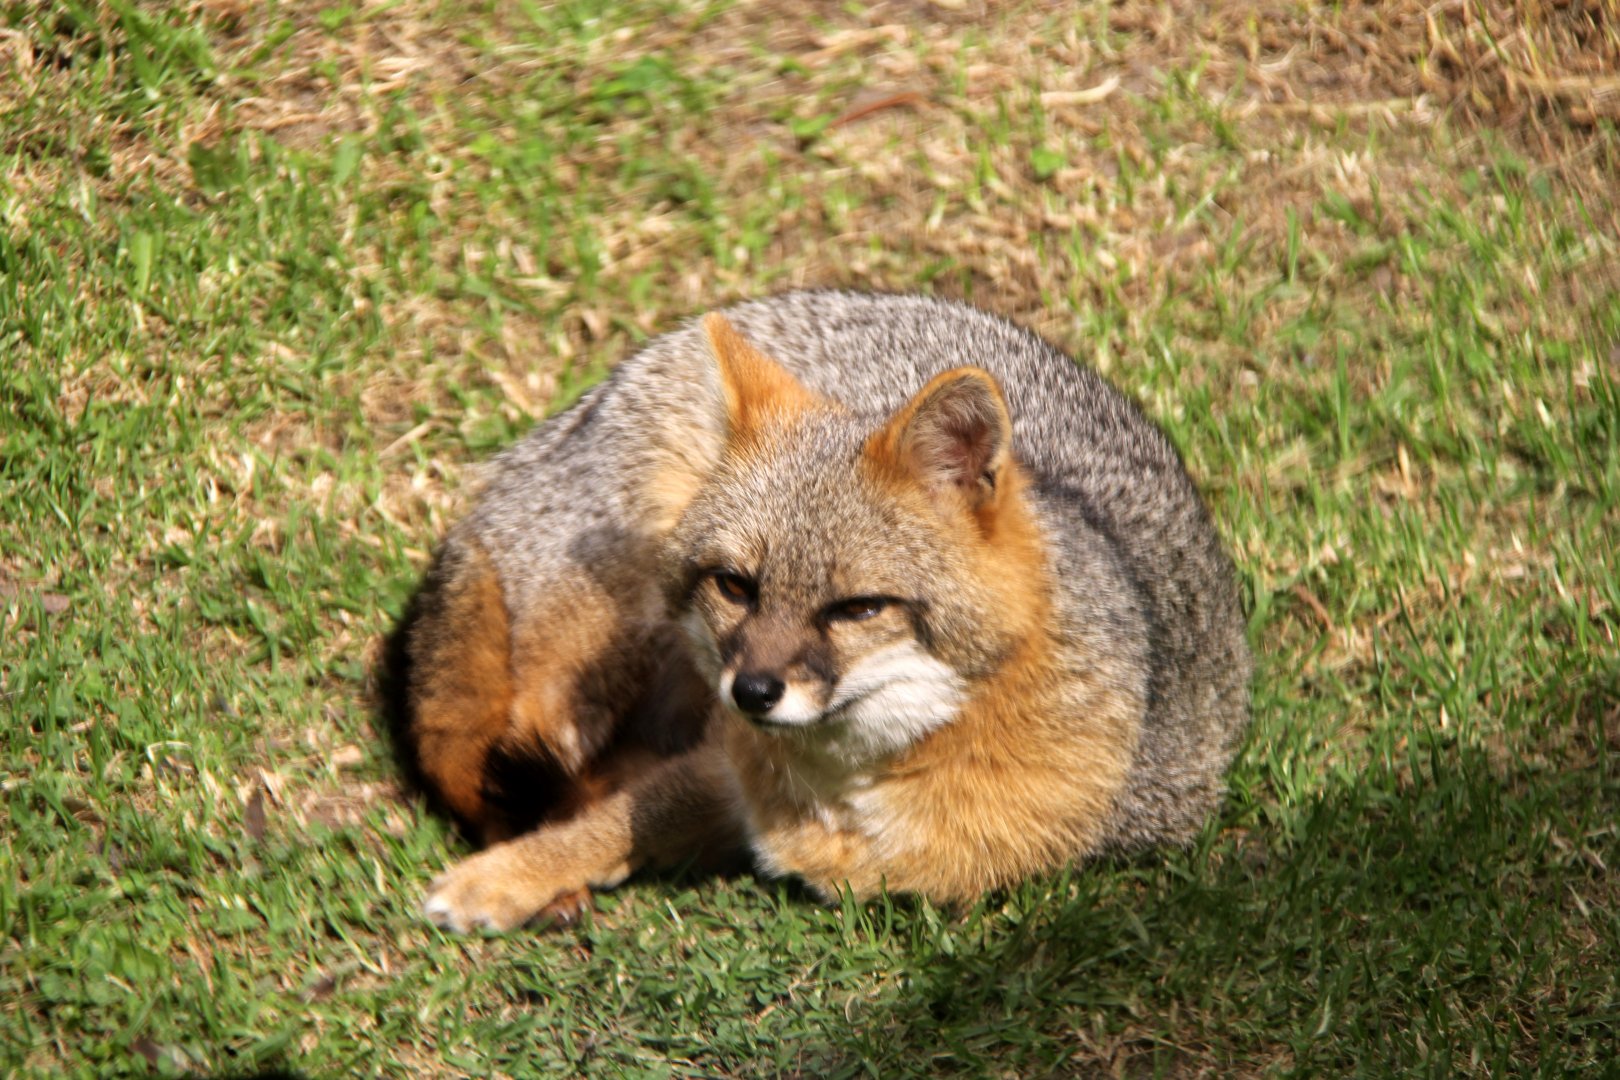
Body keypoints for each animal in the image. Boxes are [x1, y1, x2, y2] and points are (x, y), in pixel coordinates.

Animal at [403, 291, 1251, 933]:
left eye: (858, 608)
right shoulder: (720, 765)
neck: (847, 790)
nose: (751, 693)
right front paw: (508, 876)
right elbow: (620, 818)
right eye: (736, 585)